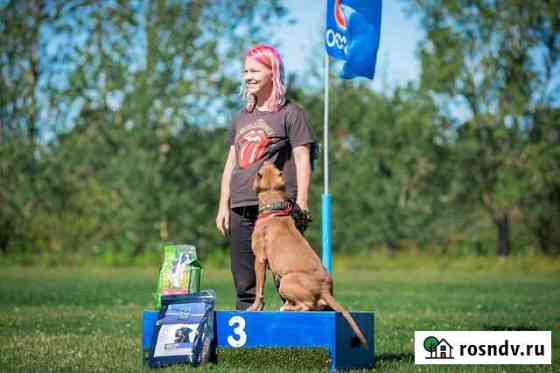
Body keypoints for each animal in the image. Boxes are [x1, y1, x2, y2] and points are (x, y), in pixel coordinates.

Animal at [247, 161, 370, 348]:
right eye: (275, 169)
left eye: (259, 171)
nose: (268, 160)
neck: (273, 209)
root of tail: (324, 289)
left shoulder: (259, 260)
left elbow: (259, 290)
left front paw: (254, 308)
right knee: (313, 306)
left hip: (286, 280)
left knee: (305, 306)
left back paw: (286, 308)